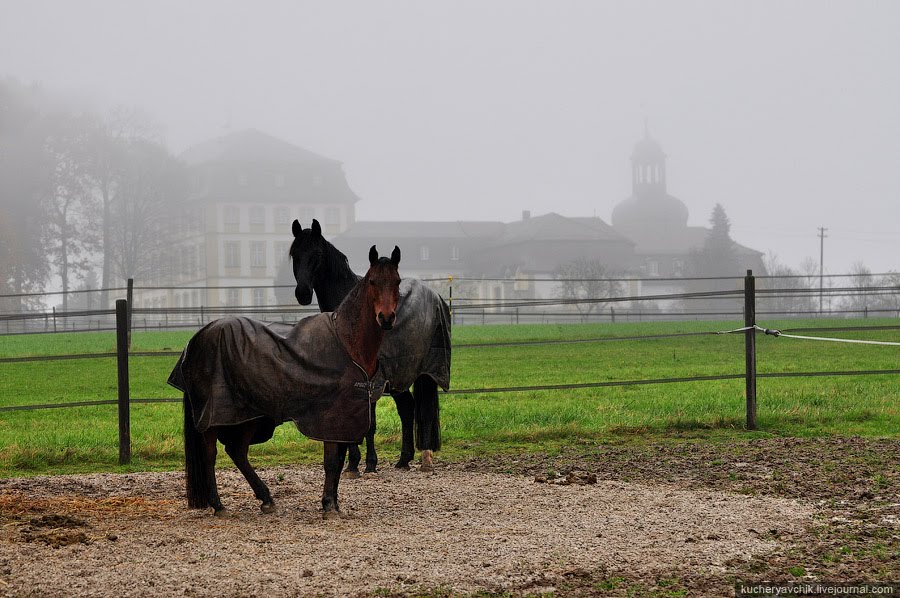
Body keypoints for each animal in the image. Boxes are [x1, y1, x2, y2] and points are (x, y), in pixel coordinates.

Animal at [170, 246, 400, 516]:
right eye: (373, 281)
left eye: (397, 281)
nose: (386, 318)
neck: (347, 341)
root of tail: (197, 338)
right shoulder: (332, 418)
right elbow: (331, 462)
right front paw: (328, 504)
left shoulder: (344, 420)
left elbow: (339, 460)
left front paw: (333, 502)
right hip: (217, 417)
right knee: (210, 453)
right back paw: (218, 505)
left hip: (250, 416)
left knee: (237, 452)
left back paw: (266, 498)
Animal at [292, 220, 454, 478]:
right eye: (295, 254)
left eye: (316, 255)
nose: (303, 293)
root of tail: (437, 297)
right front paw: (350, 463)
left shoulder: (372, 377)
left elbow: (369, 423)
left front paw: (367, 463)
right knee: (407, 408)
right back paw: (404, 459)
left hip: (427, 369)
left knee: (424, 410)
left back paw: (425, 458)